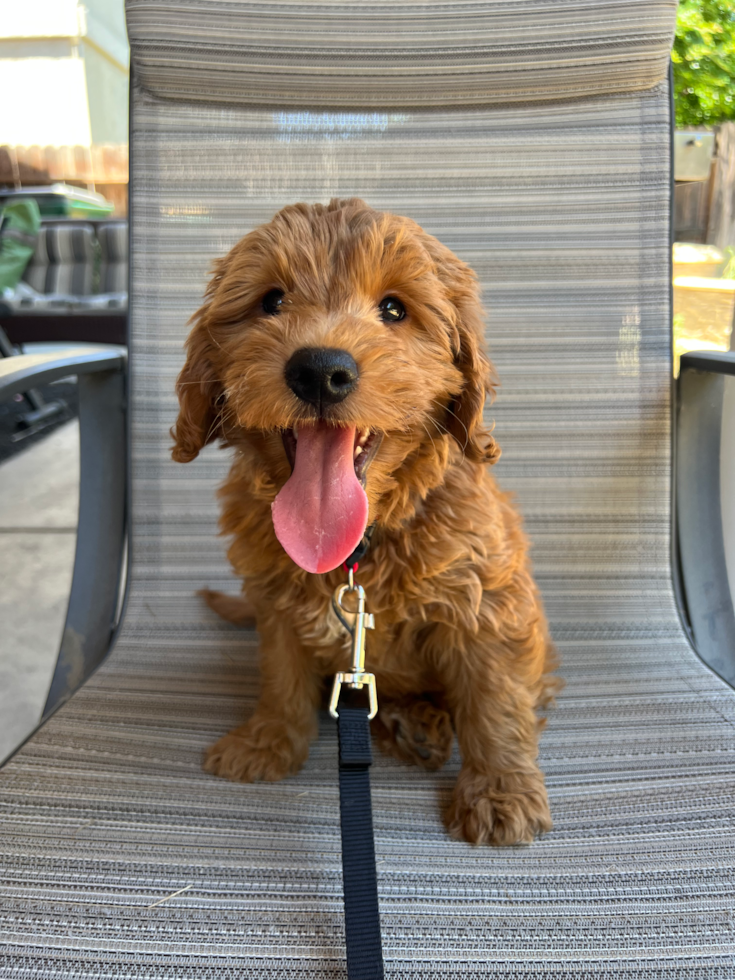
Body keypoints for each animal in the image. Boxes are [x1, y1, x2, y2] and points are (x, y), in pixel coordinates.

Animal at [172, 197, 560, 844]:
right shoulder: (274, 603)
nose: (320, 370)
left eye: (394, 309)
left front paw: (499, 791)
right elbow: (281, 677)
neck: (356, 548)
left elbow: (494, 698)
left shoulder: (488, 605)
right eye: (272, 301)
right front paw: (268, 742)